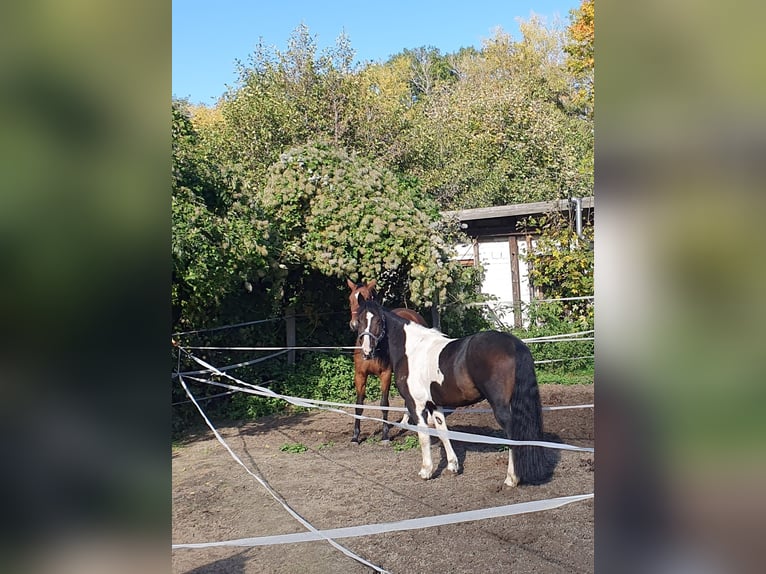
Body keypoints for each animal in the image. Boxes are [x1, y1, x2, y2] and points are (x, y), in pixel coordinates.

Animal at [346, 279, 428, 443]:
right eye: (351, 299)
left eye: (368, 297)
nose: (354, 324)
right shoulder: (360, 375)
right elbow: (359, 405)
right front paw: (355, 436)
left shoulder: (385, 374)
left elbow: (384, 404)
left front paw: (385, 435)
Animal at [354, 298, 550, 487]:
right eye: (360, 321)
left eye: (378, 321)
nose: (366, 351)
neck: (411, 350)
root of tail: (514, 344)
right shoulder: (434, 405)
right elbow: (443, 432)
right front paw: (452, 465)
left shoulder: (416, 404)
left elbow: (424, 436)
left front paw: (426, 471)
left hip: (501, 407)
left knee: (512, 436)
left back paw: (511, 478)